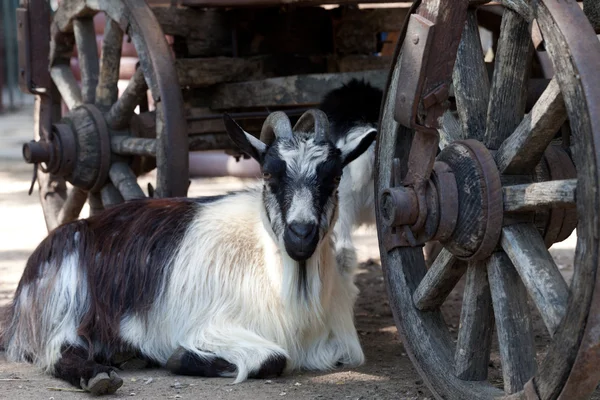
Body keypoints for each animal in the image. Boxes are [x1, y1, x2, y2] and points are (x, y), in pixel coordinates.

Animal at [0, 108, 376, 394]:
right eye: (269, 175)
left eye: (334, 178)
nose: (301, 235)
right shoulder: (209, 325)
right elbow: (273, 358)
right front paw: (180, 358)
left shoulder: (339, 346)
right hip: (64, 295)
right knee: (58, 350)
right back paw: (100, 376)